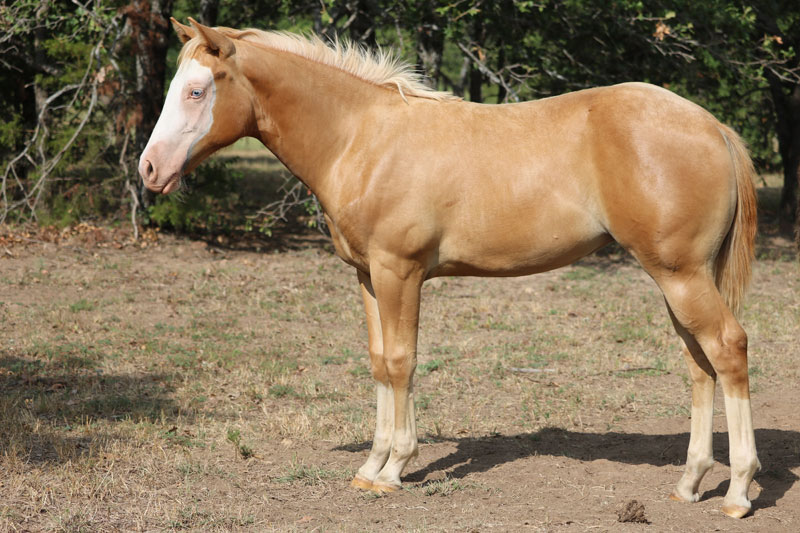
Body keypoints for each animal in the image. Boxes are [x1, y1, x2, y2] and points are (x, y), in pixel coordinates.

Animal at [139, 18, 760, 518]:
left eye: (197, 90)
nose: (149, 170)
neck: (361, 138)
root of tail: (714, 128)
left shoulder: (400, 272)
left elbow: (401, 361)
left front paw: (395, 469)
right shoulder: (368, 276)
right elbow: (378, 362)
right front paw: (370, 467)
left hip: (680, 274)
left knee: (727, 349)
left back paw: (737, 492)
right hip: (677, 278)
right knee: (698, 362)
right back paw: (689, 483)